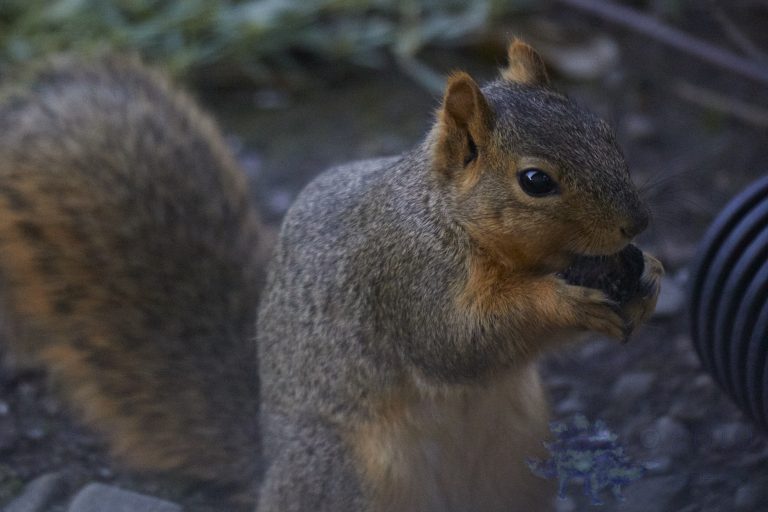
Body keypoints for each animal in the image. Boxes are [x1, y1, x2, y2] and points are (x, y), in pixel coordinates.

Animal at [0, 40, 662, 511]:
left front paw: (650, 274)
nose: (638, 222)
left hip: (518, 465)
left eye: (605, 131)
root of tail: (271, 469)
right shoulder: (404, 278)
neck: (444, 215)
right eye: (535, 181)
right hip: (351, 479)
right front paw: (566, 302)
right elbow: (456, 345)